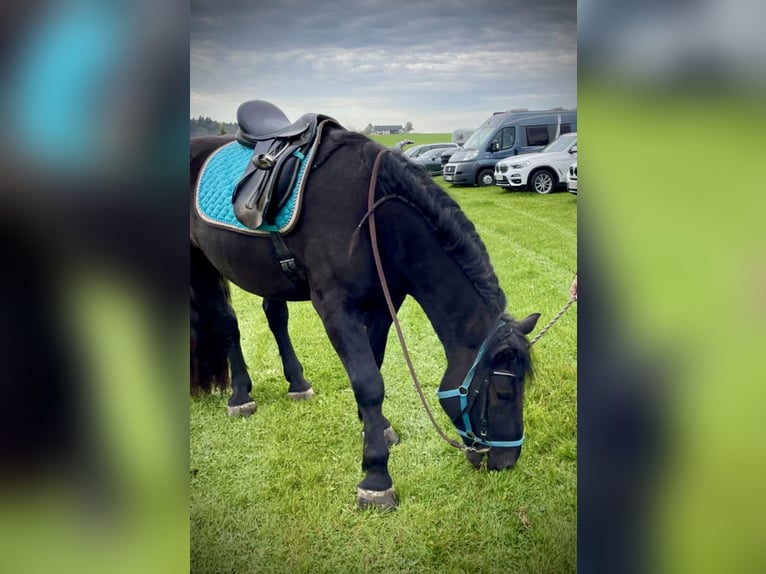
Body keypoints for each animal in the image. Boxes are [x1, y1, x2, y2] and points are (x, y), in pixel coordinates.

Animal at [192, 127, 540, 512]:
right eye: (504, 393)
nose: (507, 461)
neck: (373, 216)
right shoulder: (335, 308)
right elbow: (369, 383)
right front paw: (376, 479)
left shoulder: (384, 305)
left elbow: (375, 364)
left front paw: (375, 428)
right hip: (201, 265)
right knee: (227, 325)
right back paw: (240, 395)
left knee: (275, 317)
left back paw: (297, 384)